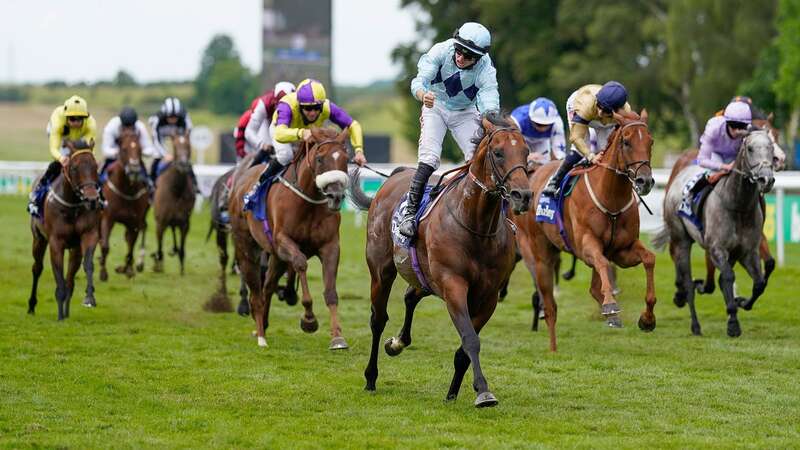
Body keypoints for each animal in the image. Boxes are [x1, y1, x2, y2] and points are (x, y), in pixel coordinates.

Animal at [28, 141, 102, 320]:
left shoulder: (89, 235)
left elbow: (88, 265)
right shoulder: (56, 241)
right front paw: (60, 315)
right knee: (37, 268)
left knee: (70, 278)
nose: (91, 199)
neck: (72, 205)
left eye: (95, 166)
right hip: (39, 239)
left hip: (74, 248)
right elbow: (58, 272)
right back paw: (32, 306)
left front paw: (89, 298)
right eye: (74, 168)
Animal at [99, 126, 149, 280]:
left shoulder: (134, 222)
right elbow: (105, 245)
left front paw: (127, 269)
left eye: (140, 149)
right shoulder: (107, 218)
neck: (127, 190)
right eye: (124, 149)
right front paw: (103, 273)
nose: (134, 169)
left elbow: (131, 246)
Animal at [231, 128, 354, 350]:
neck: (308, 202)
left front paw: (338, 338)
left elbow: (331, 291)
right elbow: (301, 263)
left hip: (276, 256)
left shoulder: (330, 246)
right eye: (320, 159)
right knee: (256, 292)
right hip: (246, 247)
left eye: (345, 159)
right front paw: (309, 319)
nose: (336, 196)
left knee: (267, 286)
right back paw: (261, 335)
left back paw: (264, 324)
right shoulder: (283, 241)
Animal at [350, 114, 532, 410]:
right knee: (378, 319)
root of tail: (394, 177)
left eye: (526, 152)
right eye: (498, 152)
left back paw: (398, 342)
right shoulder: (453, 285)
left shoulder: (488, 296)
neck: (476, 226)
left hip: (423, 277)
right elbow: (470, 339)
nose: (523, 195)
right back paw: (371, 376)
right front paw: (483, 392)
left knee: (410, 296)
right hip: (381, 271)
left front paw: (453, 393)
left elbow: (465, 349)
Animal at [656, 128, 776, 336]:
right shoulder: (717, 248)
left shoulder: (747, 251)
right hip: (681, 240)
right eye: (750, 148)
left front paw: (741, 302)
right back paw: (694, 323)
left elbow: (759, 283)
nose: (766, 179)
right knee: (687, 282)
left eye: (770, 147)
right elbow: (728, 277)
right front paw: (733, 323)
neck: (738, 205)